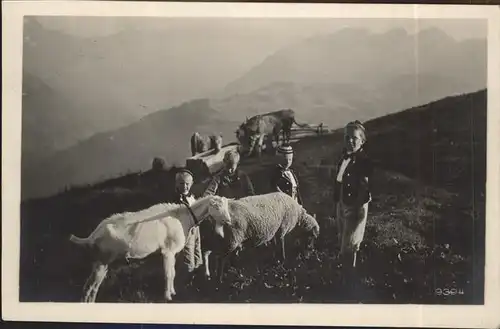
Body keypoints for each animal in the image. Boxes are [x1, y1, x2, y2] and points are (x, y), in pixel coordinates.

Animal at [68, 195, 230, 302]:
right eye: (216, 207)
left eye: (226, 206)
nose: (228, 221)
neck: (182, 217)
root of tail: (92, 235)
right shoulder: (167, 251)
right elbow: (168, 274)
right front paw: (168, 296)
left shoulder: (171, 253)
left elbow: (173, 273)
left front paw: (173, 292)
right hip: (101, 261)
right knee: (89, 287)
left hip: (102, 263)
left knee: (91, 287)